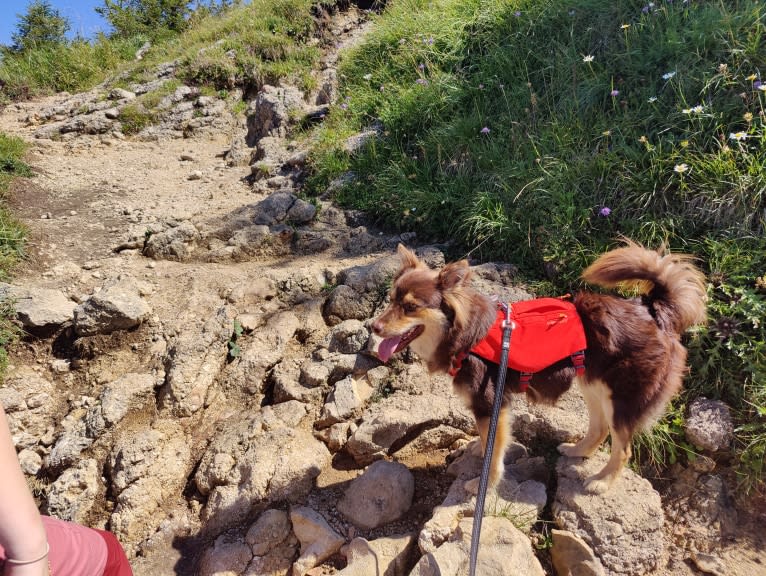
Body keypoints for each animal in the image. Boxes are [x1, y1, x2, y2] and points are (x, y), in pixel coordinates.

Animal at [372, 241, 708, 492]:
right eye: (390, 299)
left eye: (411, 307)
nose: (373, 327)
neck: (466, 335)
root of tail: (655, 311)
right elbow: (486, 440)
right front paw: (479, 450)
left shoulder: (491, 403)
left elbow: (495, 451)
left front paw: (484, 485)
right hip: (593, 385)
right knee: (600, 428)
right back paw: (577, 451)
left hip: (623, 399)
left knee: (623, 449)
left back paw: (601, 483)